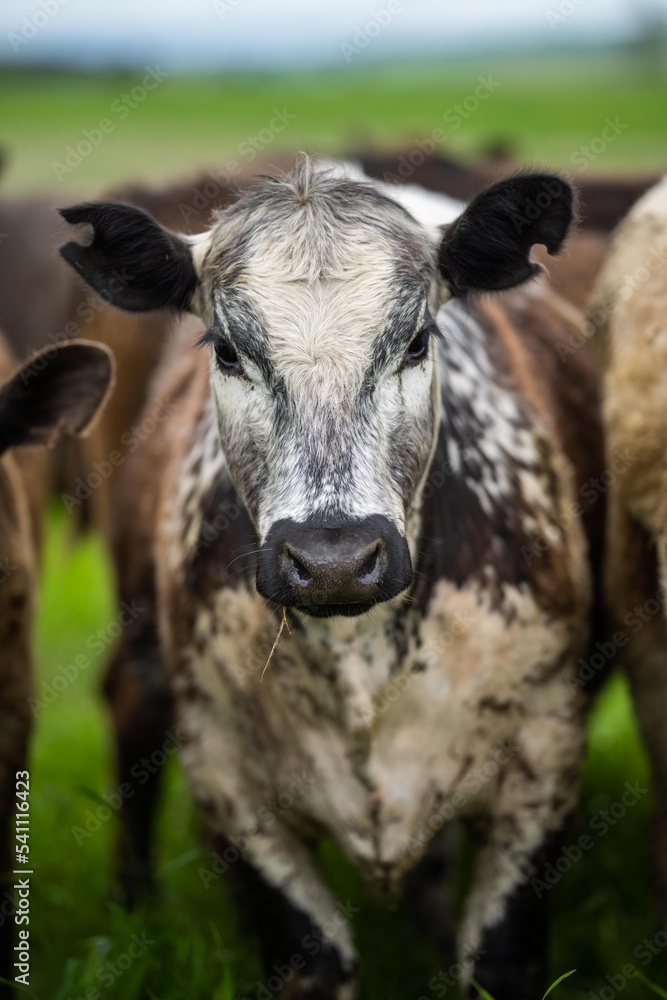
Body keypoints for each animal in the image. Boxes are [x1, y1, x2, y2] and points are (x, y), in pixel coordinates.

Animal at [59, 158, 604, 1000]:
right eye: (226, 350)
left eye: (415, 341)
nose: (333, 559)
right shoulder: (227, 777)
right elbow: (310, 957)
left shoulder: (543, 758)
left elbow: (499, 959)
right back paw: (132, 903)